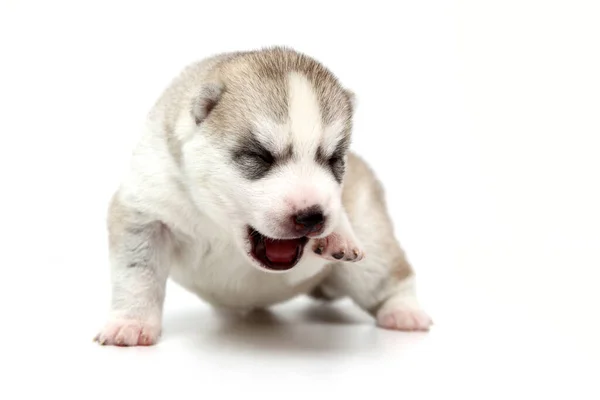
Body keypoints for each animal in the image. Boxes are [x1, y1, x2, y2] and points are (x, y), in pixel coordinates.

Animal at [95, 47, 432, 346]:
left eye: (334, 159)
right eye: (260, 156)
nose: (312, 216)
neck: (222, 229)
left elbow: (337, 204)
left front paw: (339, 234)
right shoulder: (146, 210)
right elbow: (138, 274)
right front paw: (131, 323)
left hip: (372, 245)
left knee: (390, 277)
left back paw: (405, 313)